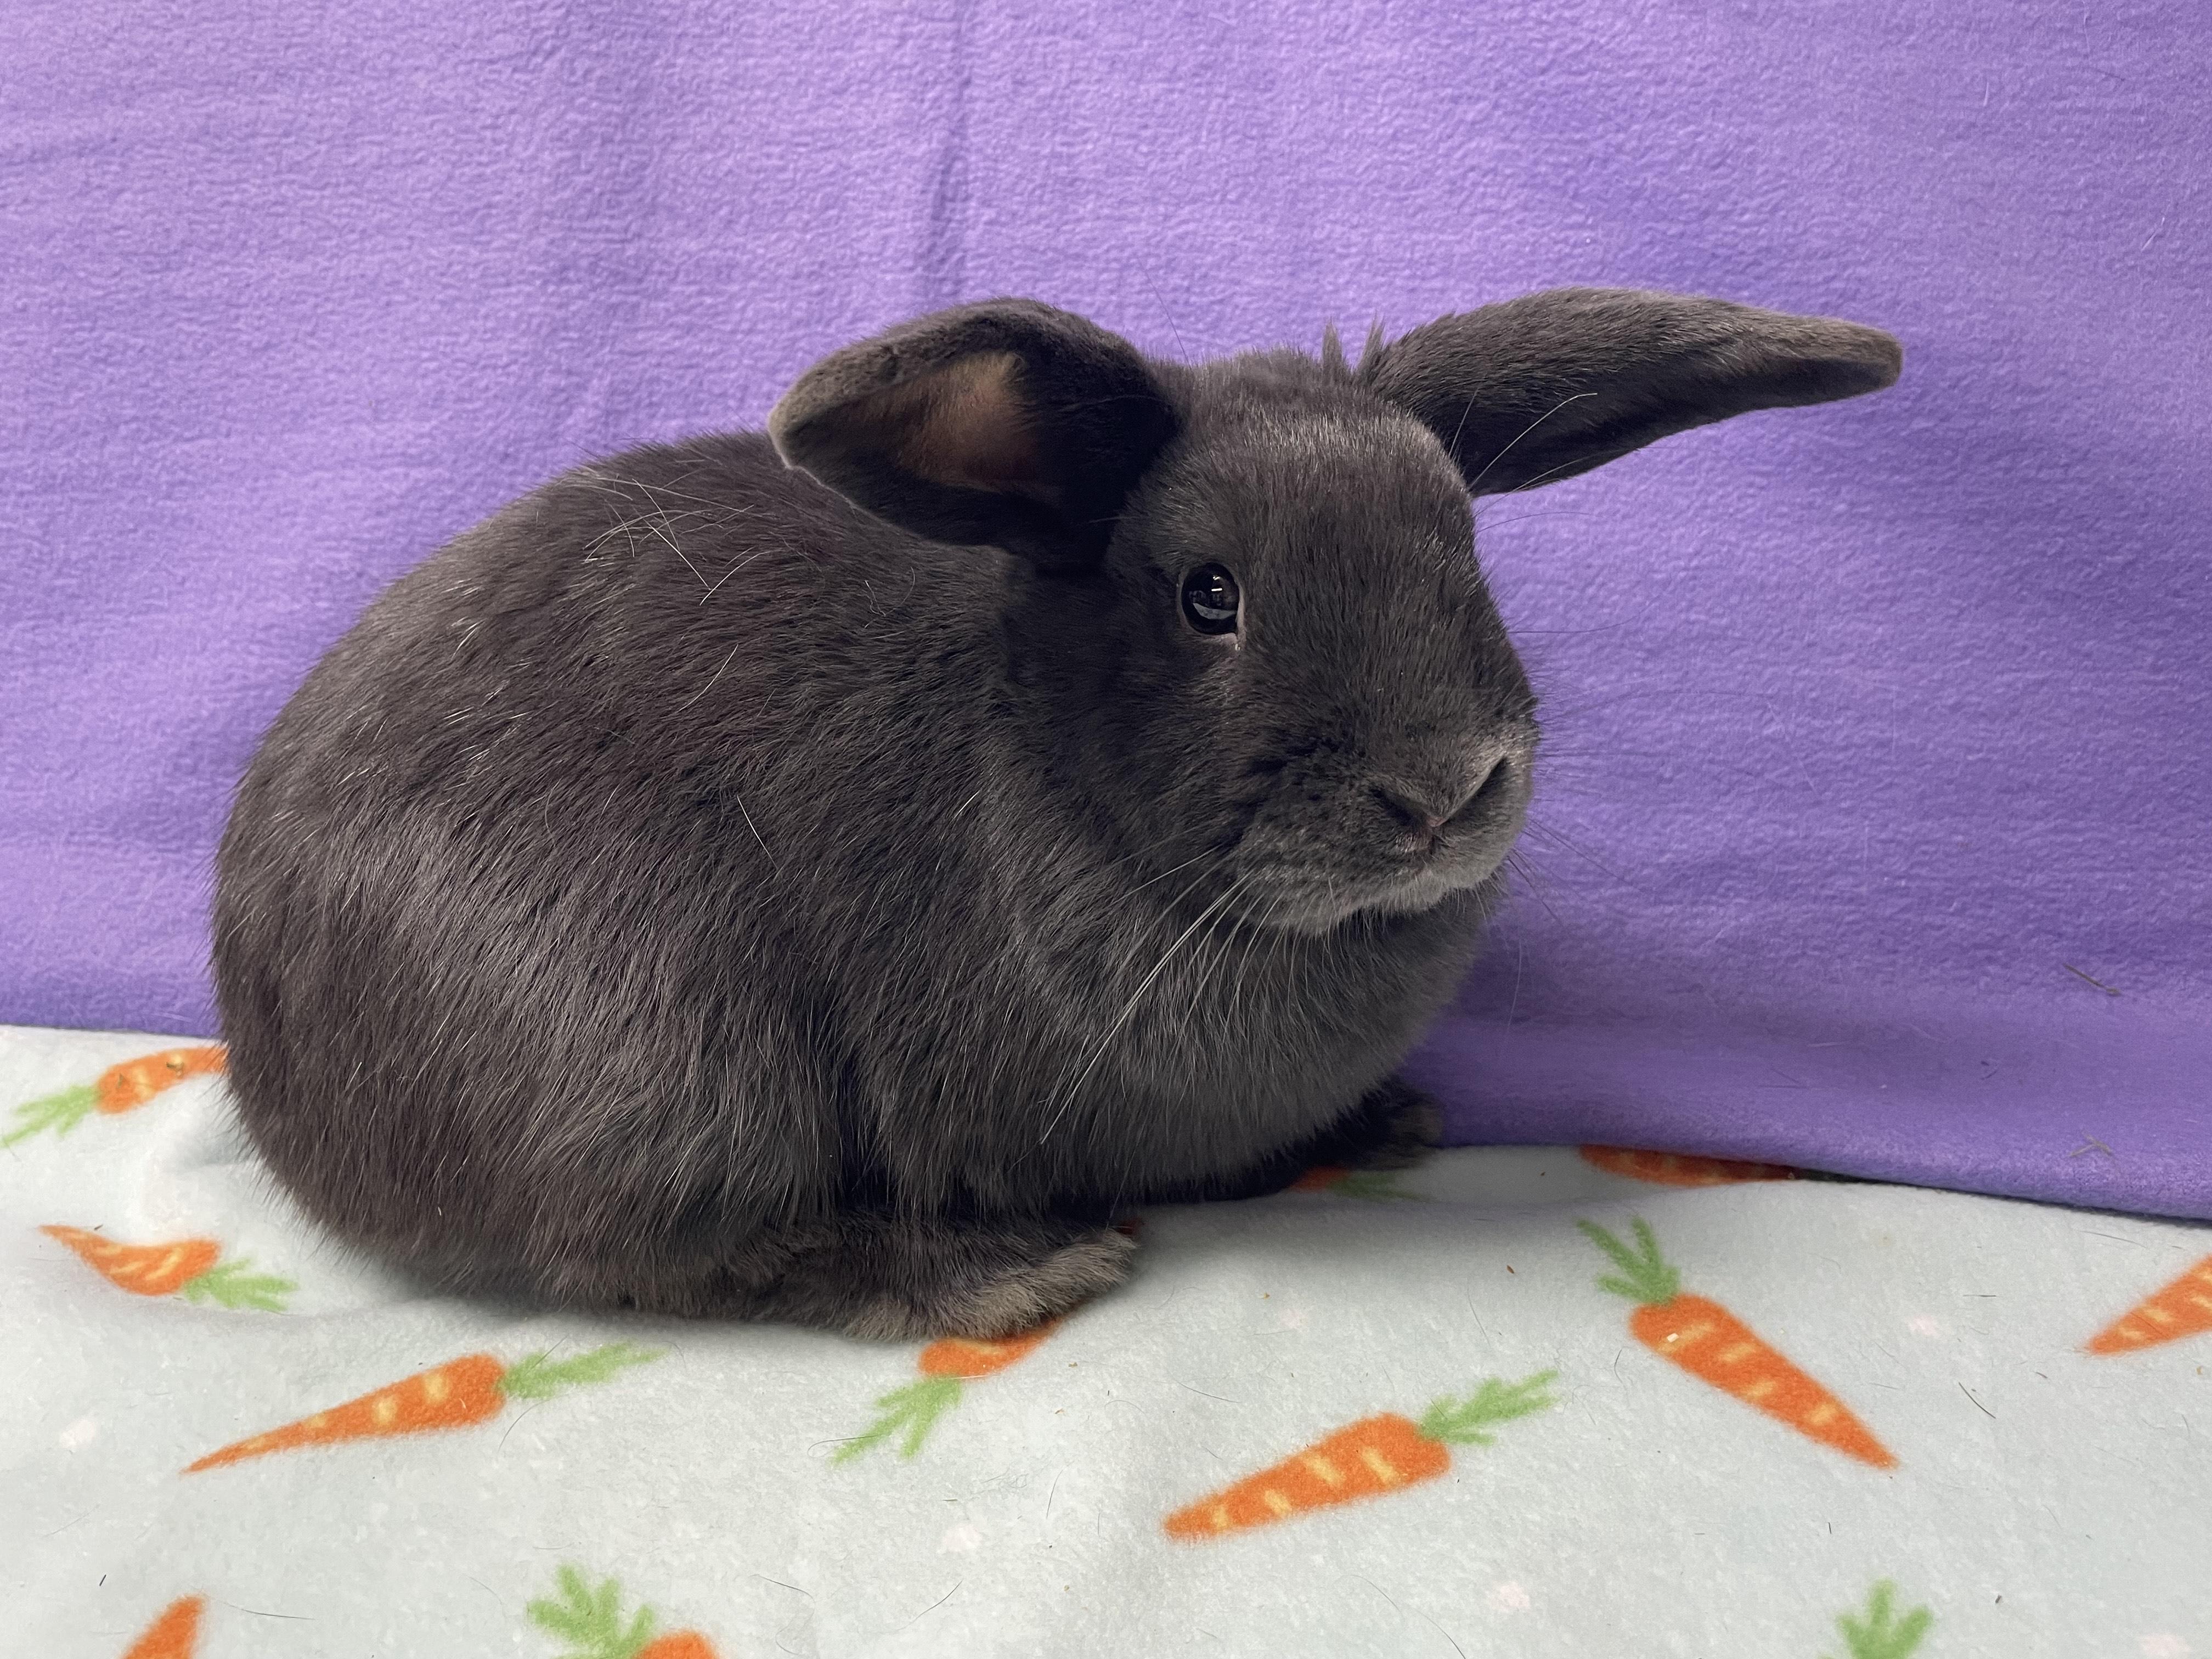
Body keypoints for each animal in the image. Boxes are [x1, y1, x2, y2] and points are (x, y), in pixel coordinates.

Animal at [212, 288, 1900, 1338]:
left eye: (1463, 547)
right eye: (1210, 596)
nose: (1445, 790)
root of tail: (284, 1104)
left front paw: (1384, 1120)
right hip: (663, 1045)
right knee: (656, 1256)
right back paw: (1001, 1277)